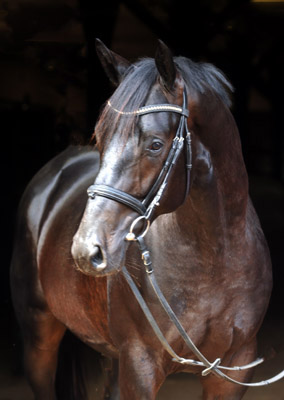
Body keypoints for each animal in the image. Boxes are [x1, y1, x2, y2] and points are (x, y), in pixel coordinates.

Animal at [10, 38, 272, 400]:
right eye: (101, 138)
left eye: (155, 144)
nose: (86, 251)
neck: (214, 257)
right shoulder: (140, 363)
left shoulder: (234, 367)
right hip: (39, 337)